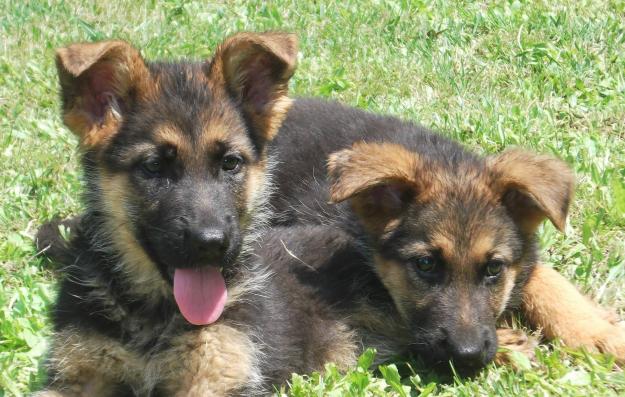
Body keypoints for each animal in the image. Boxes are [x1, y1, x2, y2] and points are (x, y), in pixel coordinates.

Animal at [35, 33, 360, 396]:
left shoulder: (216, 370)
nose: (211, 243)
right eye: (153, 166)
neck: (154, 315)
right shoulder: (76, 374)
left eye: (231, 163)